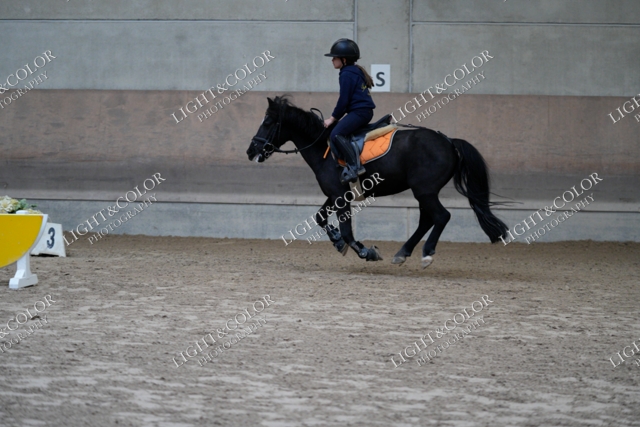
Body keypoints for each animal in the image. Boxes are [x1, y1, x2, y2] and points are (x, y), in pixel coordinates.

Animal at [246, 96, 508, 268]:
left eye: (267, 122)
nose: (251, 151)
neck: (324, 148)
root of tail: (449, 141)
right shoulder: (335, 194)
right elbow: (321, 218)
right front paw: (336, 241)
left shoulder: (339, 196)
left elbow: (348, 232)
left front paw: (365, 252)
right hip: (425, 191)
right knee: (427, 219)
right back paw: (403, 252)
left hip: (425, 190)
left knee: (441, 216)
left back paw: (426, 253)